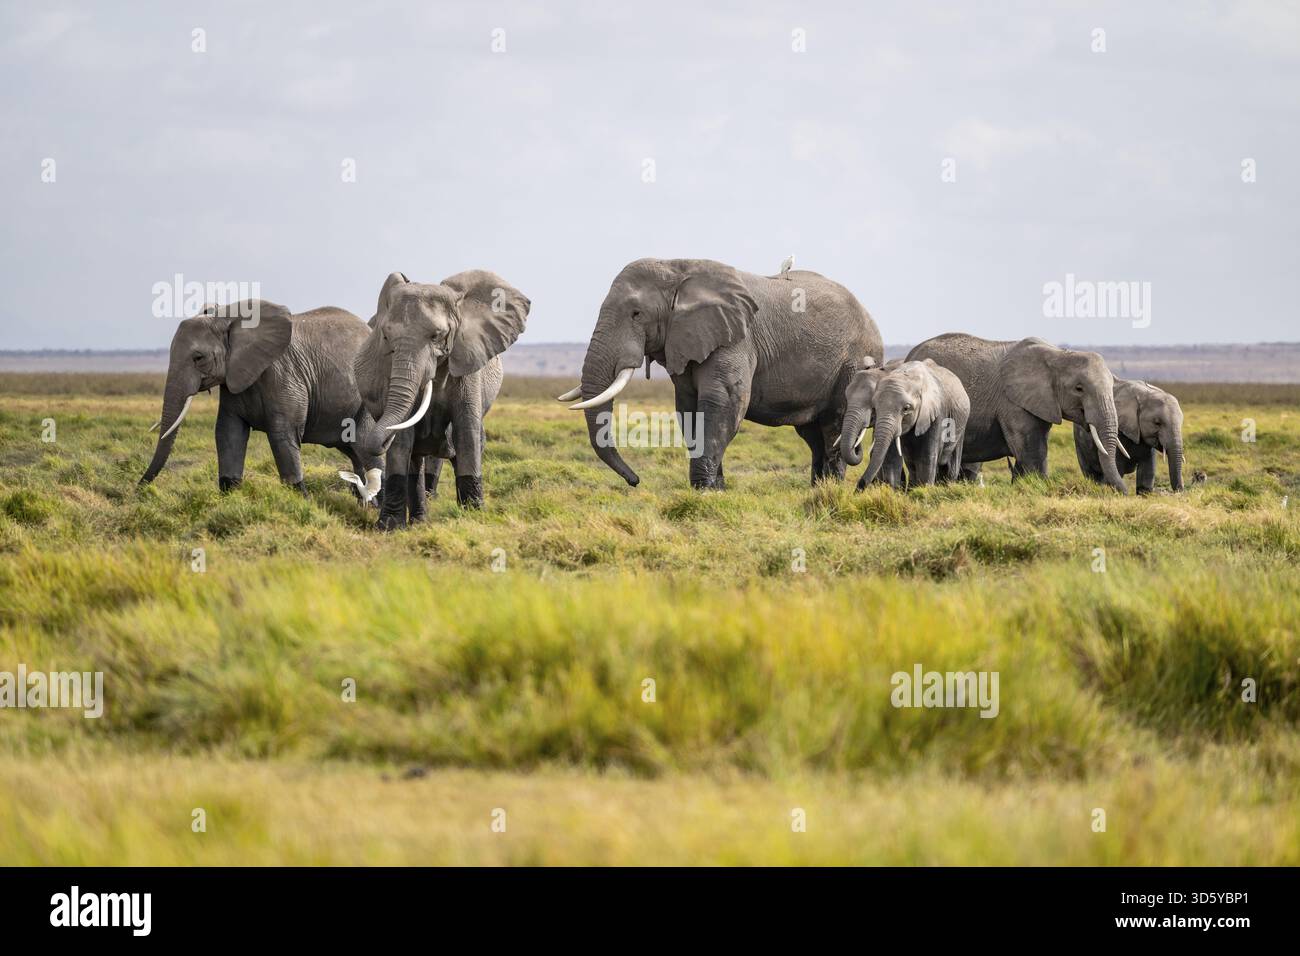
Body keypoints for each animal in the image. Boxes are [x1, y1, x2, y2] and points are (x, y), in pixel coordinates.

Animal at [140, 300, 386, 499]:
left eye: (198, 358)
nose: (139, 488)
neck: (226, 318)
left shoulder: (284, 374)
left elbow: (282, 434)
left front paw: (302, 500)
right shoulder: (234, 379)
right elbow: (228, 431)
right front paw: (230, 498)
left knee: (366, 447)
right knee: (354, 452)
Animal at [354, 270, 530, 530]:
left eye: (437, 335)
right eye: (386, 336)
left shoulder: (467, 359)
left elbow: (466, 431)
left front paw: (474, 519)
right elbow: (403, 439)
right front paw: (388, 527)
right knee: (414, 460)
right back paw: (419, 523)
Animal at [557, 258, 883, 489]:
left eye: (637, 314)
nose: (634, 481)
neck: (677, 267)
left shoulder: (737, 338)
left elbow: (723, 403)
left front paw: (704, 489)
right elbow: (688, 408)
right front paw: (716, 489)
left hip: (853, 363)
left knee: (833, 426)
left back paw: (832, 489)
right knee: (812, 433)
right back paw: (817, 488)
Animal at [844, 359, 970, 489]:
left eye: (906, 408)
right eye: (876, 407)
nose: (859, 487)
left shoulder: (938, 412)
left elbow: (926, 459)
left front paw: (923, 490)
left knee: (950, 464)